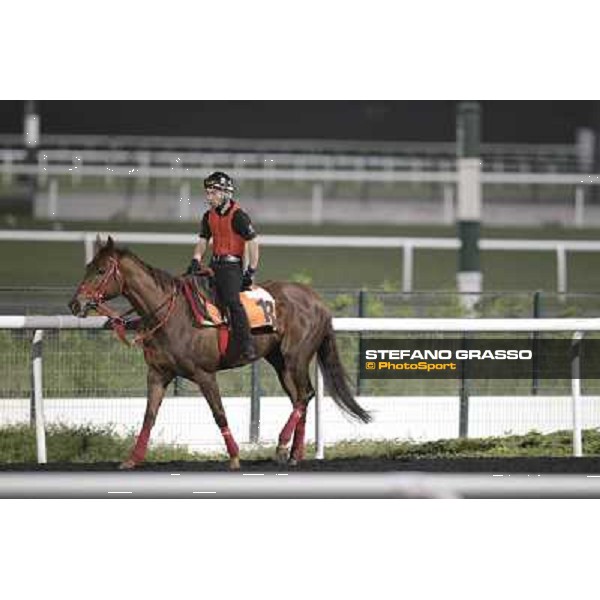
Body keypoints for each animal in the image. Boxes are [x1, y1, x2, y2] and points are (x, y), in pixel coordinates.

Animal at [69, 237, 370, 472]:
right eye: (87, 267)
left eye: (101, 270)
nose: (75, 303)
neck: (171, 315)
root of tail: (317, 300)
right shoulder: (157, 374)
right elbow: (149, 417)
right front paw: (132, 459)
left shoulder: (204, 374)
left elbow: (219, 413)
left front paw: (235, 457)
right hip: (280, 362)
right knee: (300, 398)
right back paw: (294, 454)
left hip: (296, 356)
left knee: (305, 394)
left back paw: (282, 444)